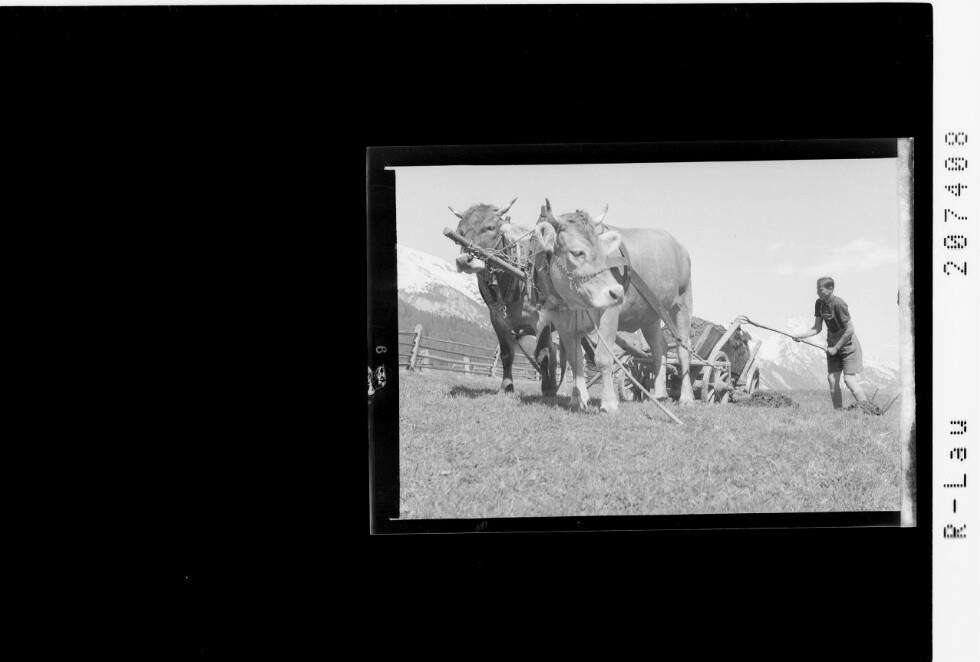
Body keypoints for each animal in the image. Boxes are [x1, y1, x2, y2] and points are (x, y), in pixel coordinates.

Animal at [449, 199, 560, 396]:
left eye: (490, 227)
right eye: (460, 231)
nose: (464, 260)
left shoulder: (543, 318)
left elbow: (541, 354)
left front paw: (546, 388)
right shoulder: (497, 319)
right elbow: (507, 353)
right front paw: (506, 386)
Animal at [532, 201, 695, 413]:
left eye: (605, 253)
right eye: (577, 252)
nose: (617, 292)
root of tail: (678, 245)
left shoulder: (609, 312)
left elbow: (603, 357)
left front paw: (609, 403)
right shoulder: (562, 322)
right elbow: (575, 360)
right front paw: (577, 400)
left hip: (683, 302)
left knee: (683, 349)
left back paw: (686, 398)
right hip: (650, 314)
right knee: (659, 347)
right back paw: (659, 394)